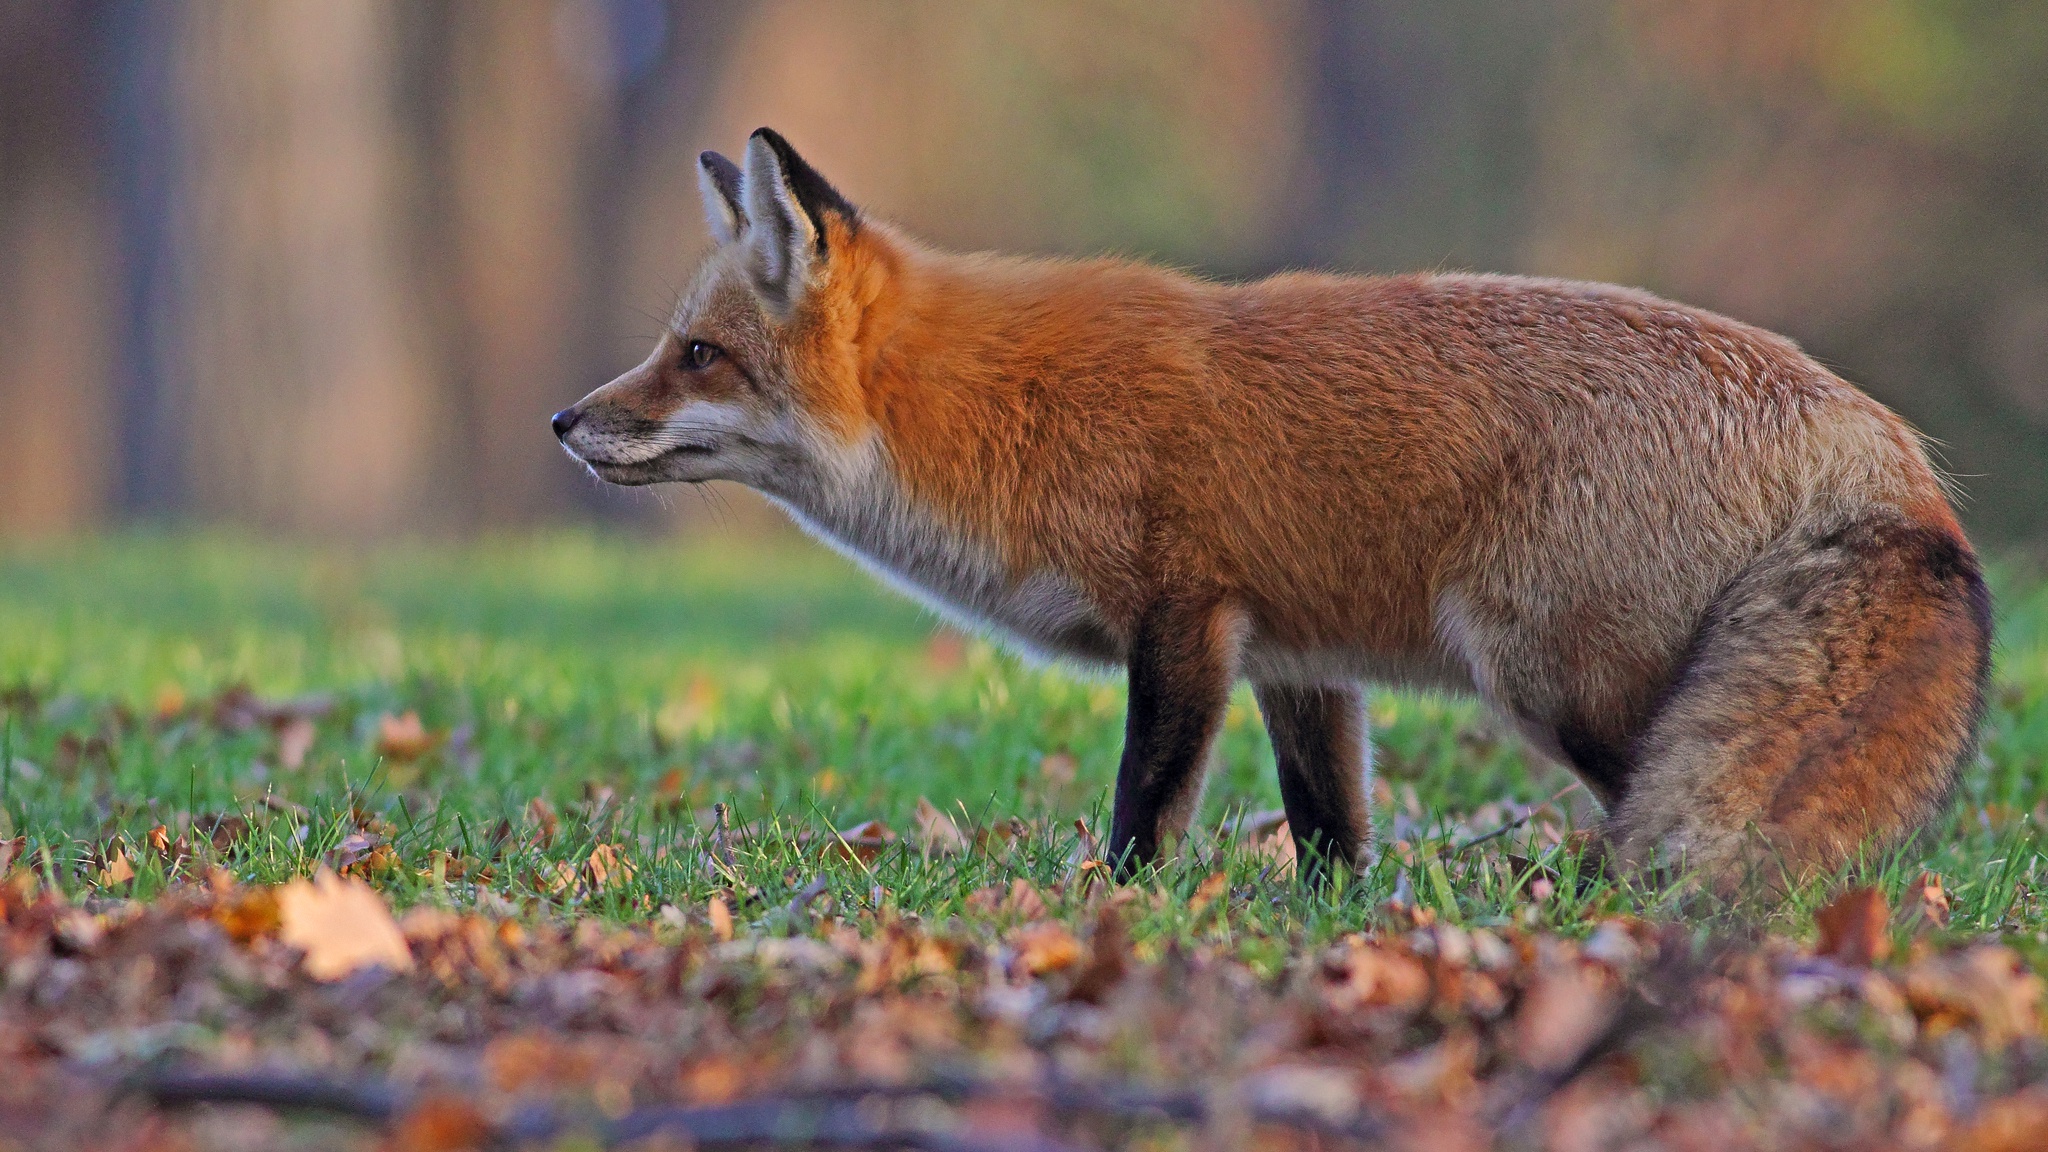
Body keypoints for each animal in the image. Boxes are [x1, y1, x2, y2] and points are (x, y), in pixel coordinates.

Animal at [557, 127, 1982, 889]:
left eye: (696, 356)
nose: (564, 423)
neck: (992, 413)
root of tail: (1886, 451)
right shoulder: (1296, 656)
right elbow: (1328, 830)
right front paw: (1330, 929)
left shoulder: (1183, 617)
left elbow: (1143, 801)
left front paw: (1120, 912)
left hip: (1553, 677)